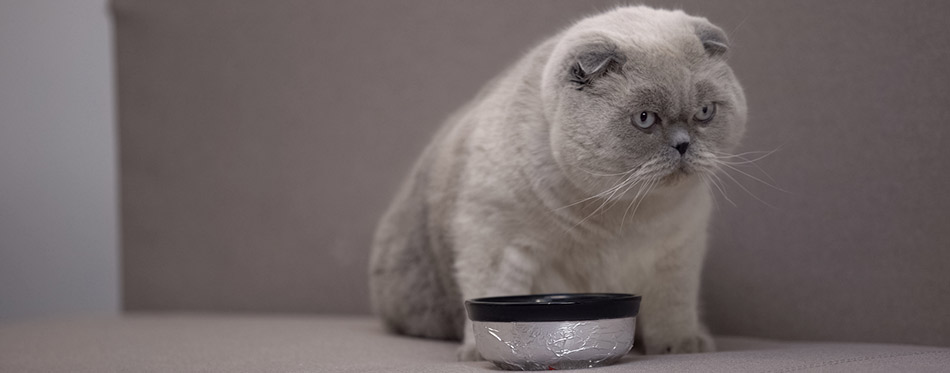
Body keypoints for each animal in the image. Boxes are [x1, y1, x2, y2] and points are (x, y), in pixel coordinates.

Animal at [368, 5, 748, 360]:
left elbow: (673, 308)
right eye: (644, 119)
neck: (621, 211)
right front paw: (477, 352)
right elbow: (490, 292)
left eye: (705, 112)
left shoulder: (678, 250)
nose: (683, 144)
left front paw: (682, 347)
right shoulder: (495, 240)